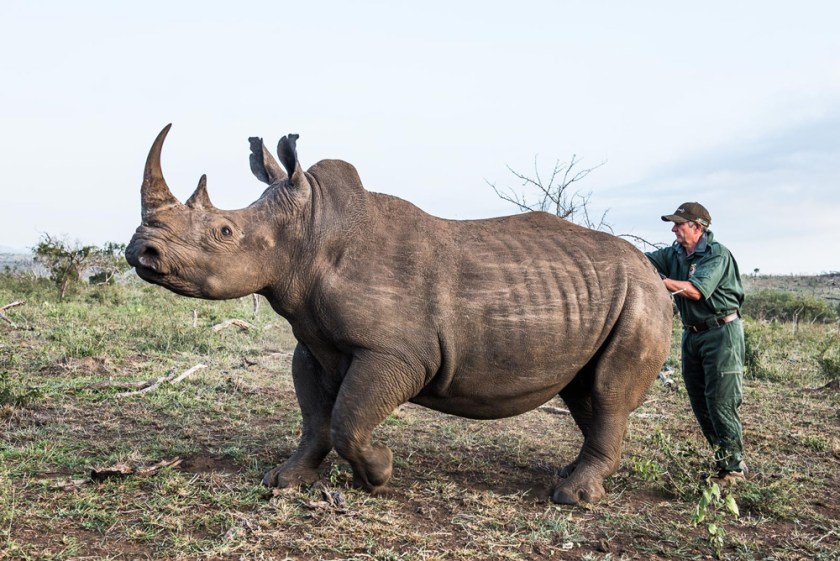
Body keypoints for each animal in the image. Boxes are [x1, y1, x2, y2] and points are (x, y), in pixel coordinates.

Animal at [126, 124, 673, 504]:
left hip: (642, 296)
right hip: (602, 296)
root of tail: (651, 267)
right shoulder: (312, 343)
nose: (140, 251)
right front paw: (284, 480)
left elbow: (347, 418)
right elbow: (315, 418)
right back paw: (571, 475)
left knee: (606, 392)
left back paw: (571, 497)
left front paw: (379, 474)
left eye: (224, 232)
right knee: (585, 391)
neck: (310, 231)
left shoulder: (397, 353)